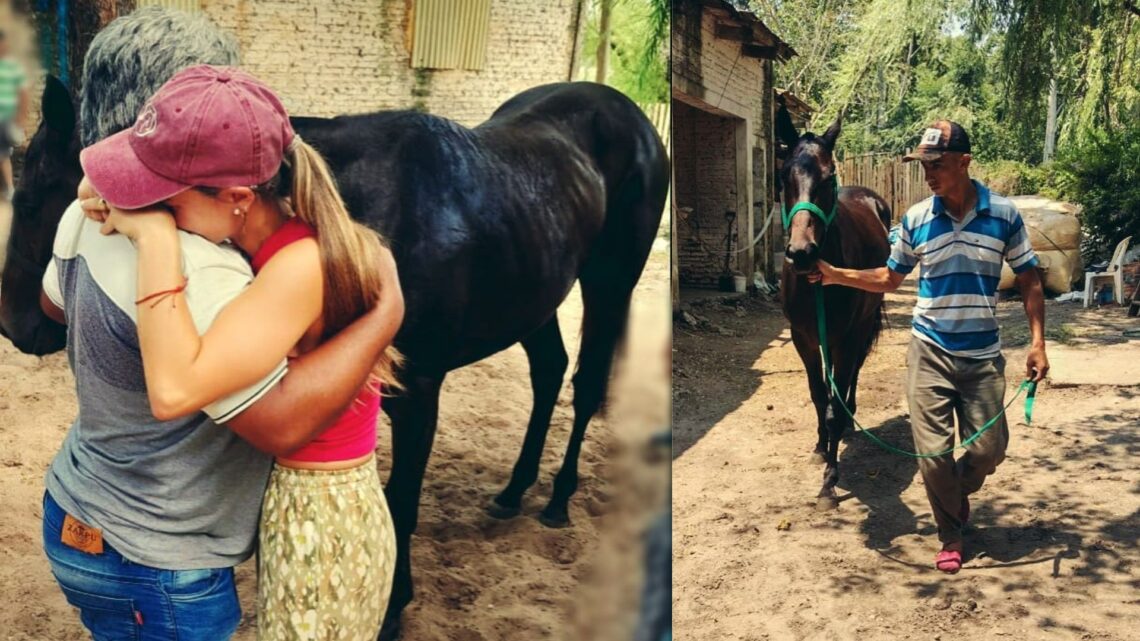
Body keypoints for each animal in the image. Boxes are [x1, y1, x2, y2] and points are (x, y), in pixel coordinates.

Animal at [0, 75, 669, 636]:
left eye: (34, 200)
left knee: (585, 384)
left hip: (611, 282)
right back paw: (514, 490)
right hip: (536, 295)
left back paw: (557, 499)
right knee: (549, 370)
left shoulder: (418, 393)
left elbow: (401, 503)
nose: (16, 322)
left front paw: (394, 607)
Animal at [775, 106, 891, 509]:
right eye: (784, 176)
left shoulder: (846, 338)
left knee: (853, 374)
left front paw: (829, 482)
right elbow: (817, 396)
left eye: (828, 179)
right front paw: (820, 449)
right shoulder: (804, 339)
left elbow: (836, 404)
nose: (802, 253)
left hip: (862, 327)